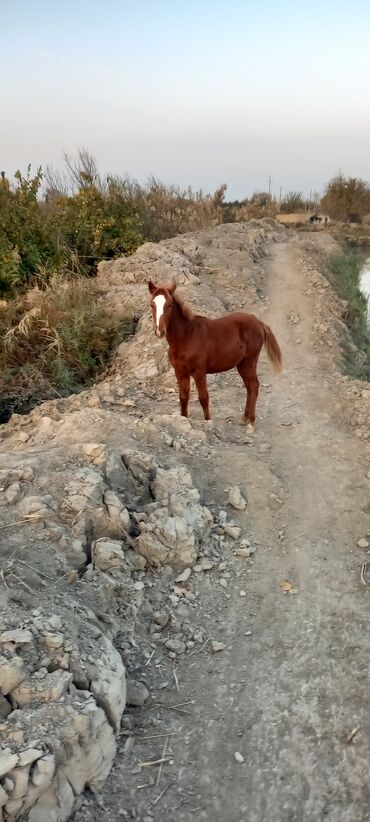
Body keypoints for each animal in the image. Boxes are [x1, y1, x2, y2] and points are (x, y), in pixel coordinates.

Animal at [149, 282, 282, 428]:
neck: (186, 337)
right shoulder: (180, 372)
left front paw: (208, 421)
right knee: (249, 387)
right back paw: (244, 418)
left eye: (169, 305)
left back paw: (251, 422)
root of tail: (259, 322)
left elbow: (203, 398)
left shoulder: (199, 372)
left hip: (250, 361)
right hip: (242, 365)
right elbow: (183, 397)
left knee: (254, 385)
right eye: (152, 305)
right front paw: (184, 419)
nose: (159, 331)